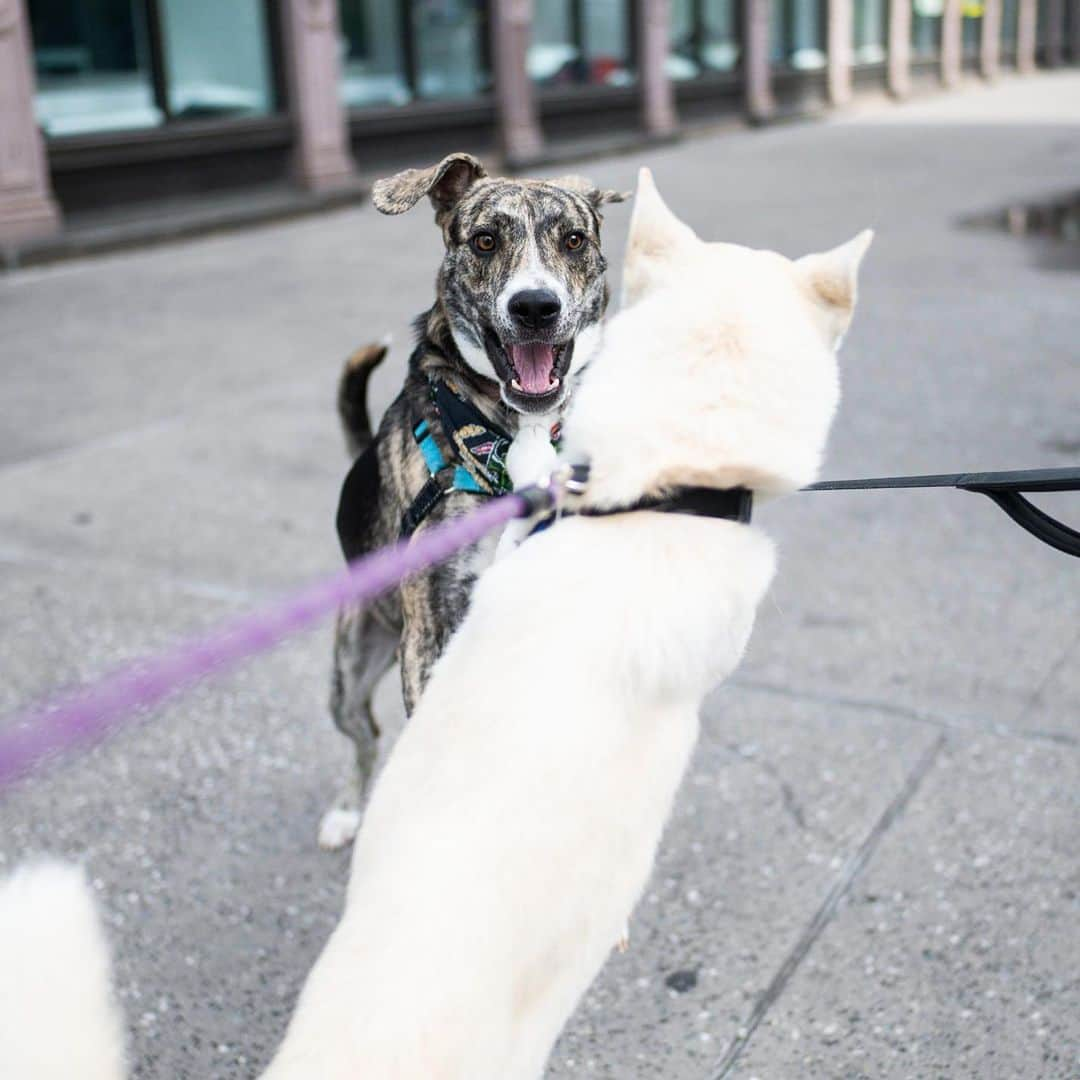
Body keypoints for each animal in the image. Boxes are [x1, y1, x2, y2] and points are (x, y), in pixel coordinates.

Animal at [315, 152, 626, 846]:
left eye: (574, 240)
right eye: (485, 240)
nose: (535, 306)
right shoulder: (428, 638)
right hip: (351, 666)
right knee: (365, 735)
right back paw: (348, 812)